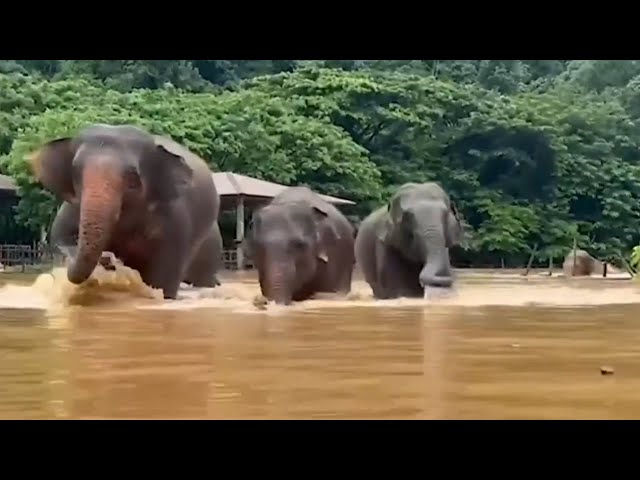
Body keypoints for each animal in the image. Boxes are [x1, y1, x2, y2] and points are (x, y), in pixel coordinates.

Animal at [33, 122, 222, 298]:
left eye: (132, 178)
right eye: (76, 171)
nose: (107, 257)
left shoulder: (175, 219)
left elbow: (163, 278)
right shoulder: (72, 207)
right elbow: (59, 235)